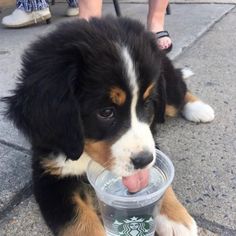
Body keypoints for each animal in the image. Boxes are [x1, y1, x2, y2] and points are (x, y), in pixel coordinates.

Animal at [3, 15, 214, 235]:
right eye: (105, 112)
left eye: (148, 103)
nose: (143, 160)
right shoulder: (49, 175)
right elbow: (77, 220)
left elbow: (159, 181)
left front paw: (176, 218)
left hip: (168, 92)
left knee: (179, 91)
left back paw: (199, 108)